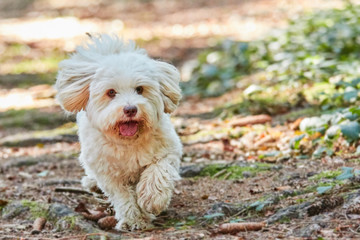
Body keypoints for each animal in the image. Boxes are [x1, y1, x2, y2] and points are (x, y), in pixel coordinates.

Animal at [56, 34, 183, 231]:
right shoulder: (108, 172)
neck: (128, 142)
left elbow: (159, 170)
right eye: (111, 92)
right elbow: (122, 196)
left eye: (140, 89)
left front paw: (152, 198)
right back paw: (91, 183)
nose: (130, 109)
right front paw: (134, 219)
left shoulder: (168, 150)